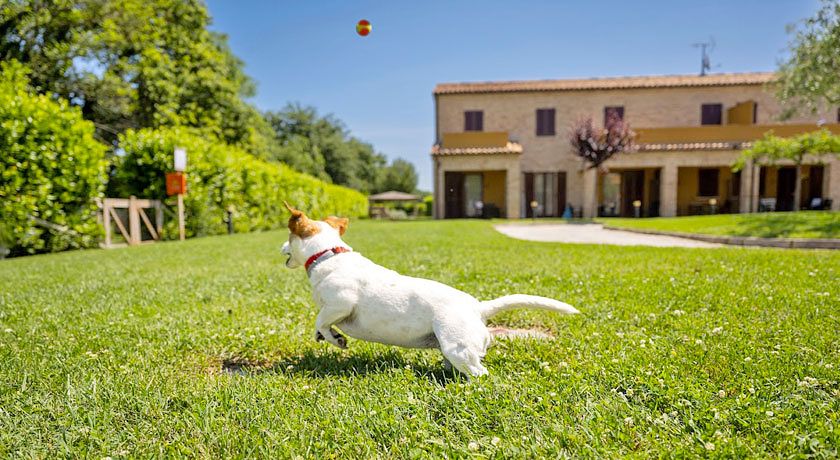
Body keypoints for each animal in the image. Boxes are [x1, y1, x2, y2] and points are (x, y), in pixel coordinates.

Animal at [280, 203, 576, 376]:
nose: (280, 248)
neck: (327, 254)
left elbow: (320, 319)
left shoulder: (341, 303)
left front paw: (335, 339)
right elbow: (319, 326)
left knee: (480, 374)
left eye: (288, 237)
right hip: (451, 349)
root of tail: (478, 308)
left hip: (458, 348)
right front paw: (325, 337)